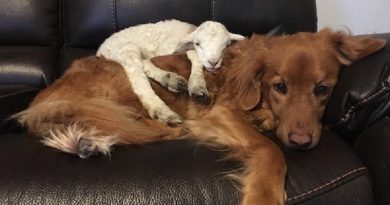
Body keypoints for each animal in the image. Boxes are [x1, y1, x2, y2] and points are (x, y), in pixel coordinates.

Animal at [96, 19, 244, 124]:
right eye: (198, 43)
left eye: (226, 45)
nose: (213, 62)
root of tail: (100, 51)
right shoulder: (166, 49)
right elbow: (194, 54)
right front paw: (197, 85)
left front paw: (197, 85)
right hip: (125, 49)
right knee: (138, 76)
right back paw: (162, 111)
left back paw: (171, 80)